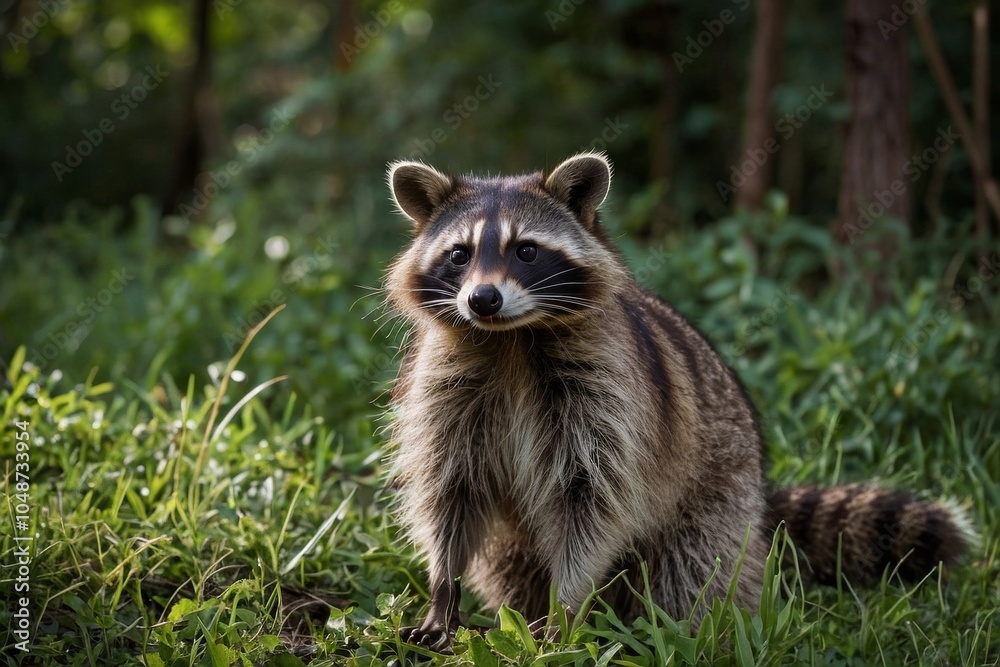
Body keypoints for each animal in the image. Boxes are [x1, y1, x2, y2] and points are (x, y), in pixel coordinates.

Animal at [383, 153, 973, 649]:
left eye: (526, 250)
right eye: (459, 255)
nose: (482, 299)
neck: (511, 340)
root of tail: (759, 500)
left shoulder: (609, 397)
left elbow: (592, 499)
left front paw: (566, 605)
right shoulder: (448, 390)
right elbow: (451, 490)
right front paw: (444, 588)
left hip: (718, 497)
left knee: (696, 571)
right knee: (509, 560)